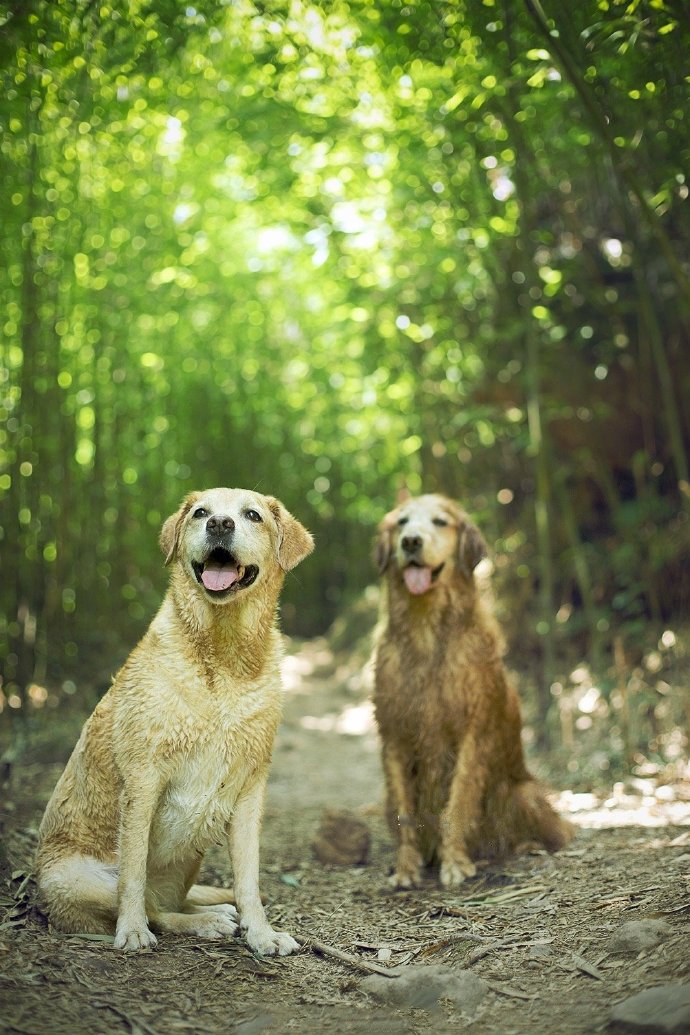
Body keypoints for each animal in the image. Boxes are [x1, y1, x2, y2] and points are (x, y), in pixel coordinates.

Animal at [37, 484, 312, 952]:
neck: (222, 655)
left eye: (252, 515)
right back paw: (198, 922)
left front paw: (261, 934)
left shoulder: (251, 786)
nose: (218, 523)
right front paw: (131, 931)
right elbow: (132, 873)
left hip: (190, 857)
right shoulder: (143, 778)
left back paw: (214, 913)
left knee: (171, 901)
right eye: (201, 512)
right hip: (78, 878)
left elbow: (249, 879)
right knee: (151, 906)